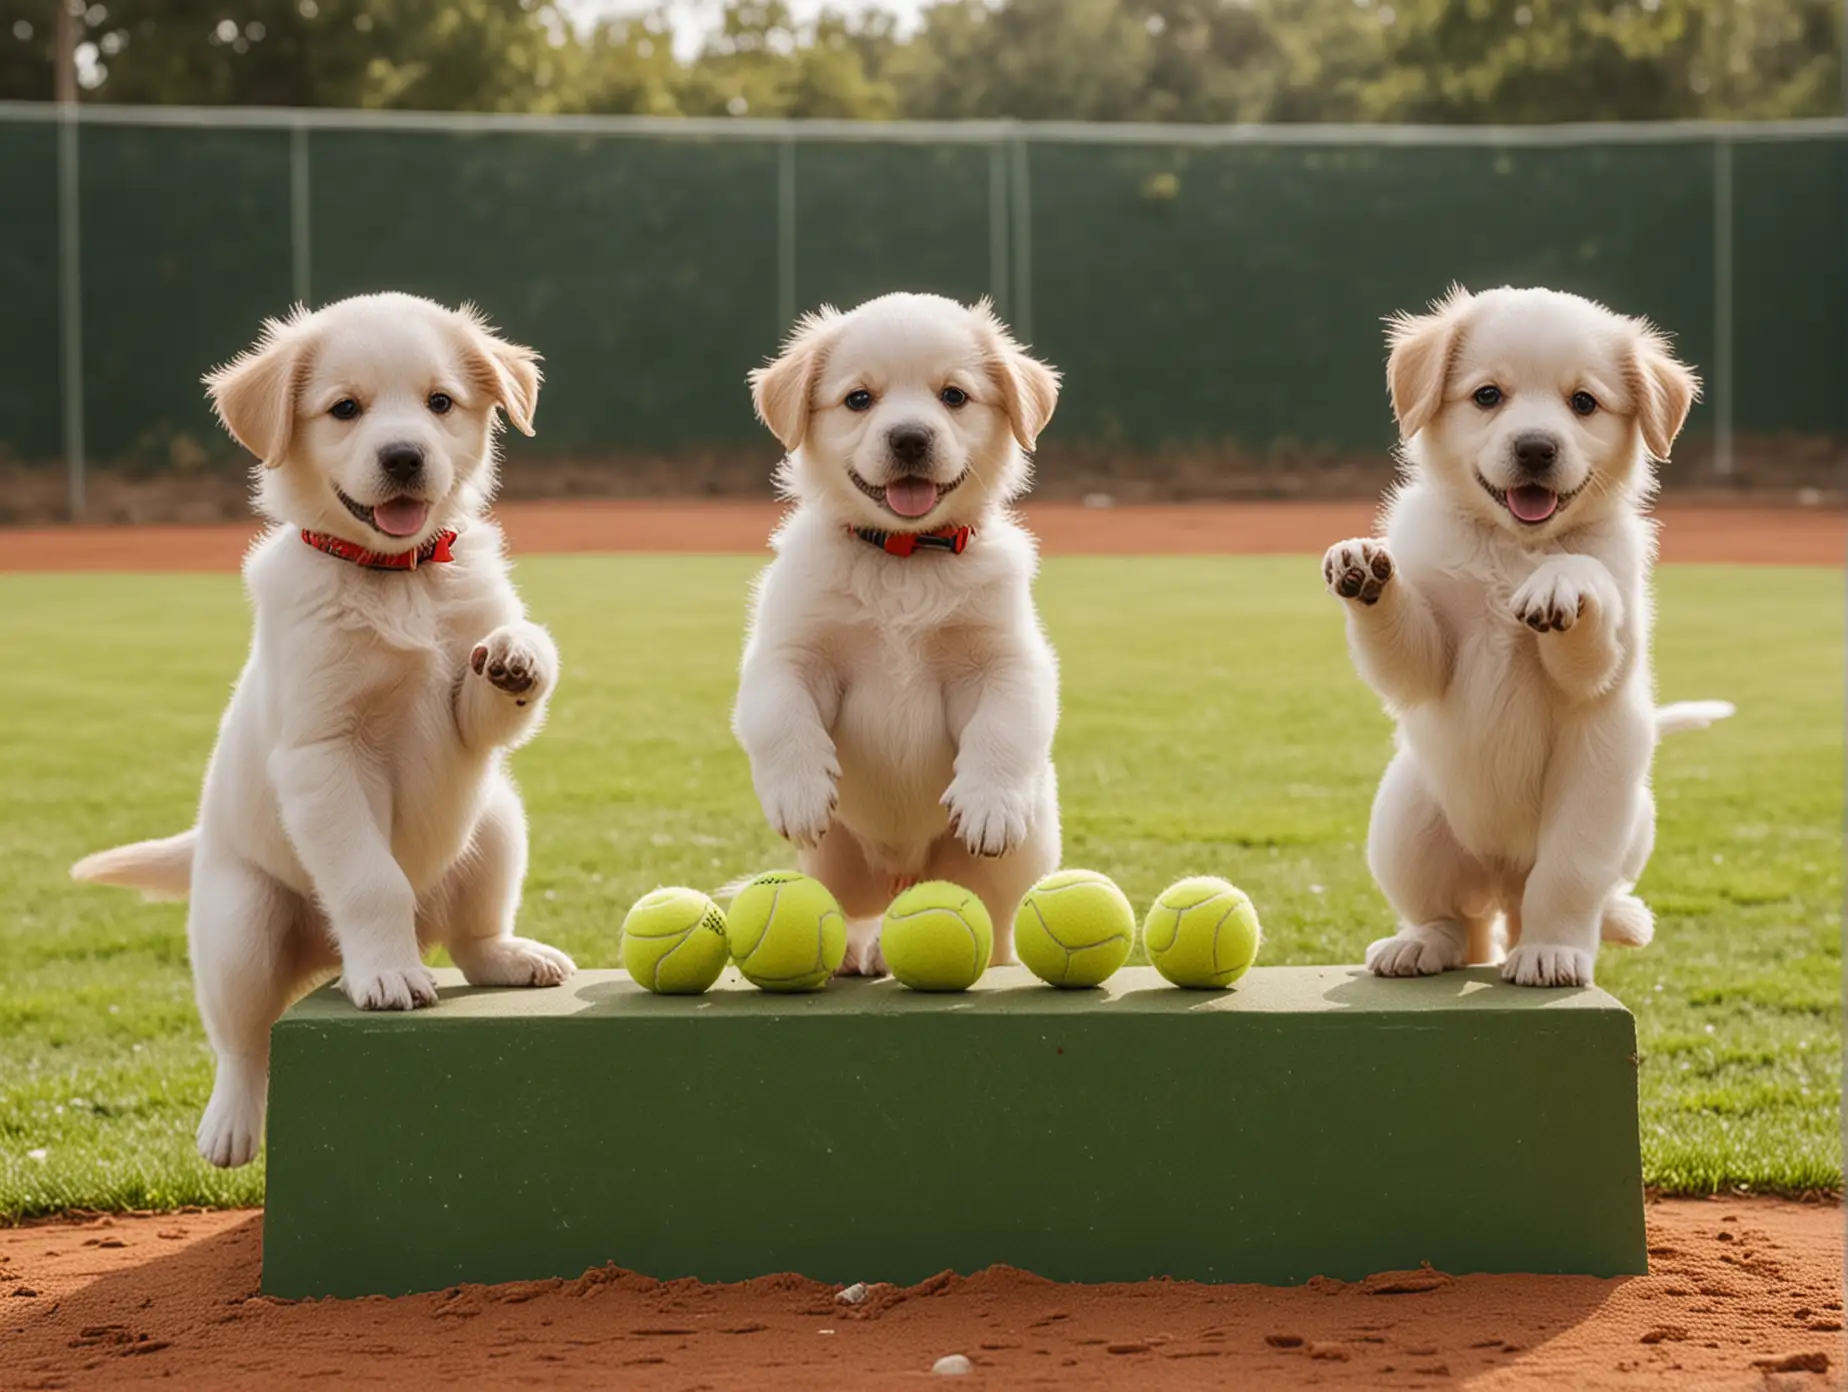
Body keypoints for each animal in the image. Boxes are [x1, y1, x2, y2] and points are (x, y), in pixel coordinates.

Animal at [72, 290, 572, 1160]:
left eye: (440, 403)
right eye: (345, 409)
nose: (405, 456)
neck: (395, 577)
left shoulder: (468, 730)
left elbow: (498, 682)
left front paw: (517, 654)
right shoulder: (323, 757)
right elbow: (372, 882)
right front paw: (390, 973)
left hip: (496, 825)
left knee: (471, 940)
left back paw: (511, 956)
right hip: (240, 924)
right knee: (243, 1036)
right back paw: (232, 1122)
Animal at [728, 290, 1064, 976]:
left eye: (954, 396)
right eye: (859, 399)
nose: (910, 437)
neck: (904, 558)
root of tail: (898, 877)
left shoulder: (1009, 661)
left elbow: (1005, 728)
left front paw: (990, 802)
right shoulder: (786, 654)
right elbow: (781, 717)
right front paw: (799, 790)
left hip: (1000, 870)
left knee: (993, 930)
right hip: (834, 864)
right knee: (846, 909)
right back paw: (859, 947)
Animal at [1330, 282, 1729, 983]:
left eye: (1584, 402)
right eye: (1488, 395)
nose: (1537, 448)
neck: (1513, 546)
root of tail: (1502, 882)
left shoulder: (1599, 668)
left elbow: (1588, 594)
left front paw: (1562, 579)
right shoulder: (1430, 665)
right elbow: (1407, 652)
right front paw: (1366, 567)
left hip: (1608, 815)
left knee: (1573, 890)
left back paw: (1566, 943)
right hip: (1407, 820)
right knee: (1455, 922)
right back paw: (1420, 943)